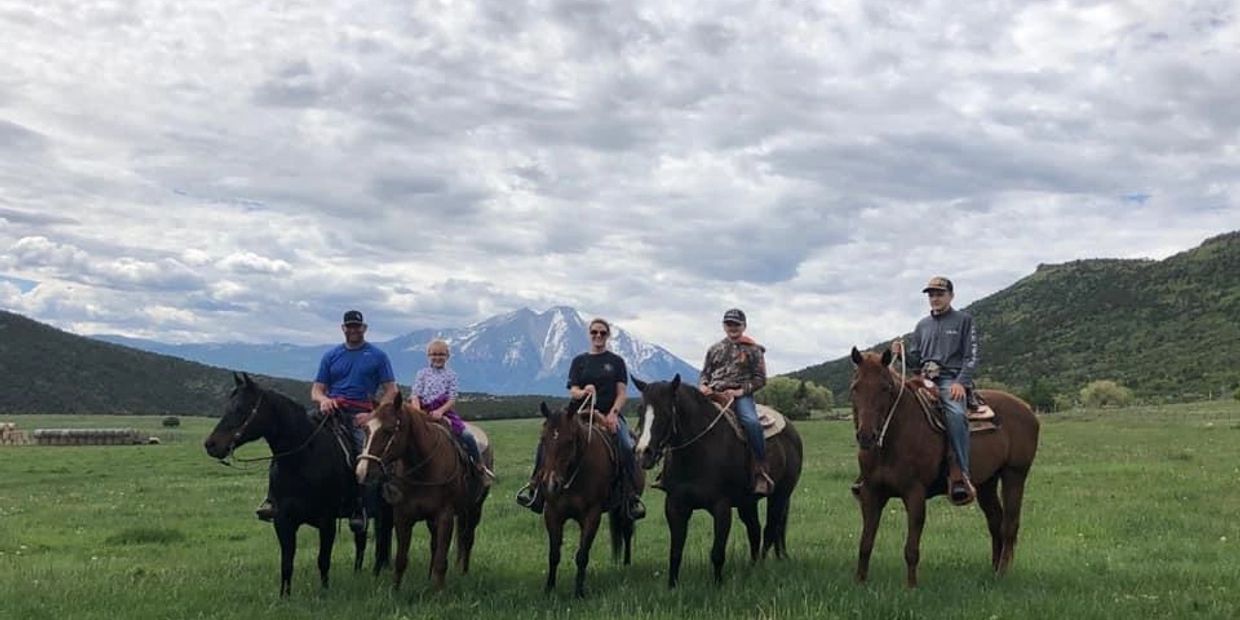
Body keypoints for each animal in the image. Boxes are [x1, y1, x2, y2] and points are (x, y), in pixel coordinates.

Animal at [204, 372, 391, 595]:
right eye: (227, 407)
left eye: (241, 408)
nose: (211, 445)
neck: (301, 460)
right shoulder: (283, 520)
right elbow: (286, 563)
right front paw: (284, 596)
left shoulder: (326, 521)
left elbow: (323, 560)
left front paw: (324, 593)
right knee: (362, 539)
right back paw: (358, 573)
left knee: (382, 540)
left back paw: (377, 572)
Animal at [354, 391, 488, 590]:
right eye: (366, 429)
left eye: (389, 430)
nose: (362, 472)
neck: (423, 469)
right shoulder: (402, 516)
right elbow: (401, 559)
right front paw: (395, 591)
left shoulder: (445, 516)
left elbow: (441, 560)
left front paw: (439, 592)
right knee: (436, 544)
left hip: (474, 509)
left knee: (467, 538)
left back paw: (463, 573)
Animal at [538, 399, 644, 597]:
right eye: (543, 439)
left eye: (569, 441)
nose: (550, 484)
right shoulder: (552, 514)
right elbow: (553, 554)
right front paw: (549, 588)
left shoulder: (591, 516)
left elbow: (582, 555)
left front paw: (579, 592)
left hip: (625, 507)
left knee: (627, 531)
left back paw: (626, 564)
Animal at [634, 372, 808, 585]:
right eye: (640, 410)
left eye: (667, 411)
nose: (643, 453)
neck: (698, 452)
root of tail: (791, 428)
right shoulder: (675, 506)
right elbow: (675, 552)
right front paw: (672, 586)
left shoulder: (721, 507)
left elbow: (717, 553)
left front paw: (717, 585)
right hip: (747, 503)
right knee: (755, 531)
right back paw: (751, 568)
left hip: (780, 495)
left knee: (770, 530)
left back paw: (761, 567)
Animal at [848, 349, 1041, 585]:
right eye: (855, 387)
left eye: (886, 388)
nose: (866, 436)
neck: (892, 441)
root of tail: (1028, 409)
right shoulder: (871, 493)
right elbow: (865, 543)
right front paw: (859, 582)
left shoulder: (915, 494)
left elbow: (911, 549)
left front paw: (911, 587)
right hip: (987, 482)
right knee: (995, 520)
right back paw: (994, 570)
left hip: (1015, 475)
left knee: (1009, 525)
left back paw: (1002, 572)